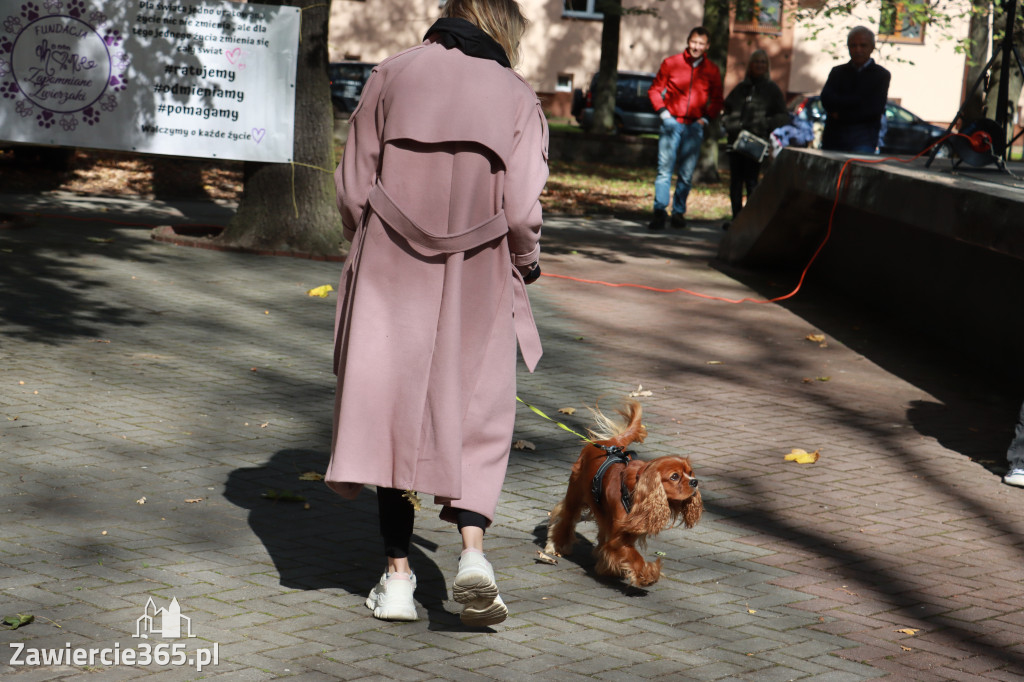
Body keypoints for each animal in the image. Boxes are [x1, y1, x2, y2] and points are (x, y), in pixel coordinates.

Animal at [544, 399, 704, 585]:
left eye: (690, 472)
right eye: (674, 476)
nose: (695, 481)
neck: (636, 491)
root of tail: (609, 442)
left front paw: (609, 567)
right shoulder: (618, 539)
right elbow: (634, 557)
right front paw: (648, 574)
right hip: (575, 496)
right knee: (566, 519)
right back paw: (558, 545)